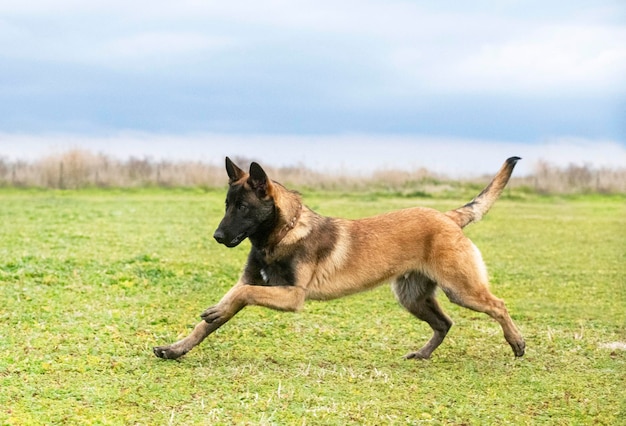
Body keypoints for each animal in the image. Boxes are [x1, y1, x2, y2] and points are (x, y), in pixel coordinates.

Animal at [154, 156, 524, 360]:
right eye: (227, 206)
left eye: (243, 207)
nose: (217, 236)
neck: (283, 233)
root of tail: (447, 217)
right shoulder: (254, 284)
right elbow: (210, 321)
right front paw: (176, 348)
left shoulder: (292, 296)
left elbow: (241, 294)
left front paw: (213, 312)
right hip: (413, 298)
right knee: (444, 324)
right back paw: (423, 354)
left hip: (461, 290)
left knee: (499, 304)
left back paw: (516, 342)